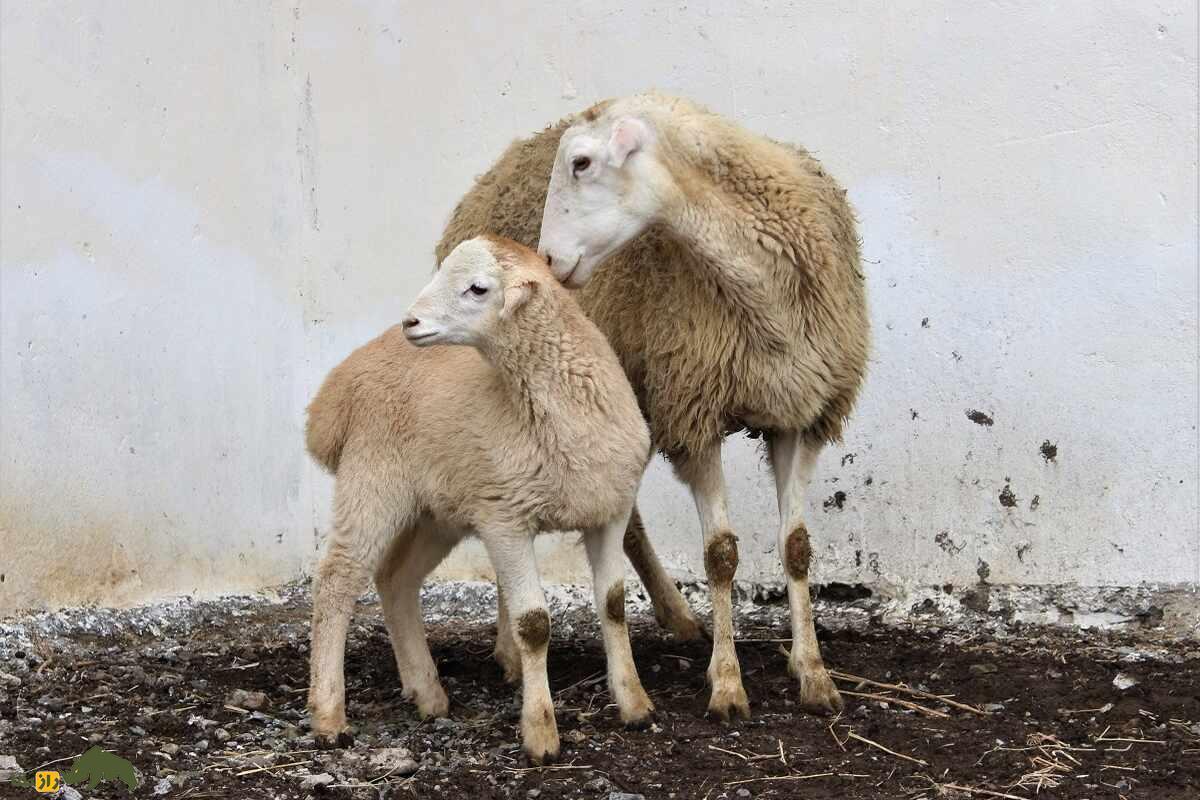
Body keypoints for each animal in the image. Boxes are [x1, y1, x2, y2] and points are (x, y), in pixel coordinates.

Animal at [305, 235, 655, 763]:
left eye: (478, 288)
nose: (410, 322)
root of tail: (337, 386)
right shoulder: (504, 519)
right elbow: (533, 624)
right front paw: (541, 733)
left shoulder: (609, 510)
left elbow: (613, 605)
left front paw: (634, 704)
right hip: (373, 481)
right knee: (336, 582)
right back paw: (328, 716)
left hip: (436, 512)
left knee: (395, 579)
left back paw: (427, 693)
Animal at [437, 93, 869, 721]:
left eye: (581, 163)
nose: (546, 259)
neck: (764, 295)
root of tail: (493, 170)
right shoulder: (695, 416)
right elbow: (720, 556)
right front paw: (727, 683)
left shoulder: (800, 417)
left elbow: (796, 549)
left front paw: (812, 672)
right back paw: (512, 654)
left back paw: (676, 616)